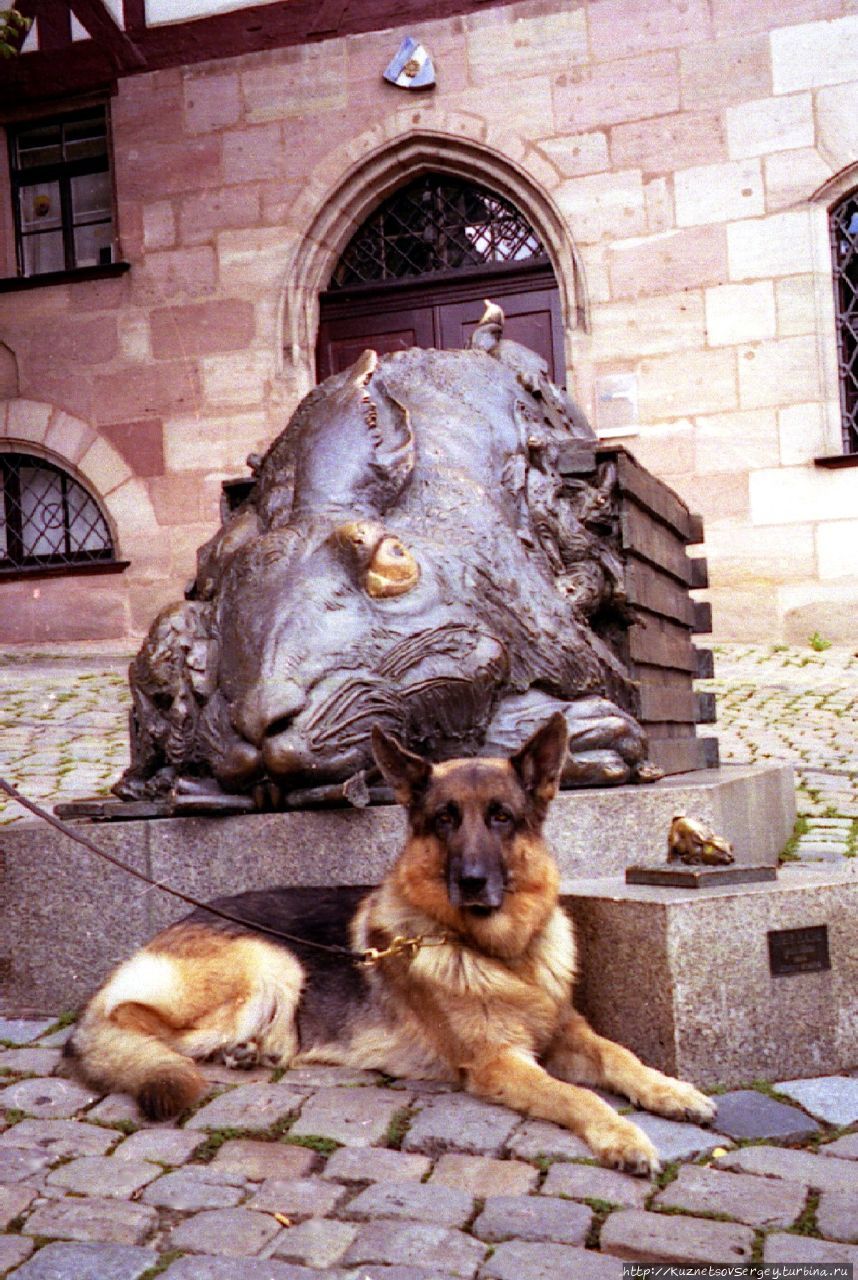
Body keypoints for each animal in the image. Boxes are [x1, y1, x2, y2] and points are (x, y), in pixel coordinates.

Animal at [67, 716, 717, 1172]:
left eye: (501, 817)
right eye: (445, 819)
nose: (471, 881)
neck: (499, 955)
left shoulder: (567, 1031)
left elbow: (621, 1057)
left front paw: (673, 1091)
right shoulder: (499, 1062)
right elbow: (580, 1096)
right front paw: (623, 1136)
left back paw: (249, 1051)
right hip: (269, 959)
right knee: (130, 1024)